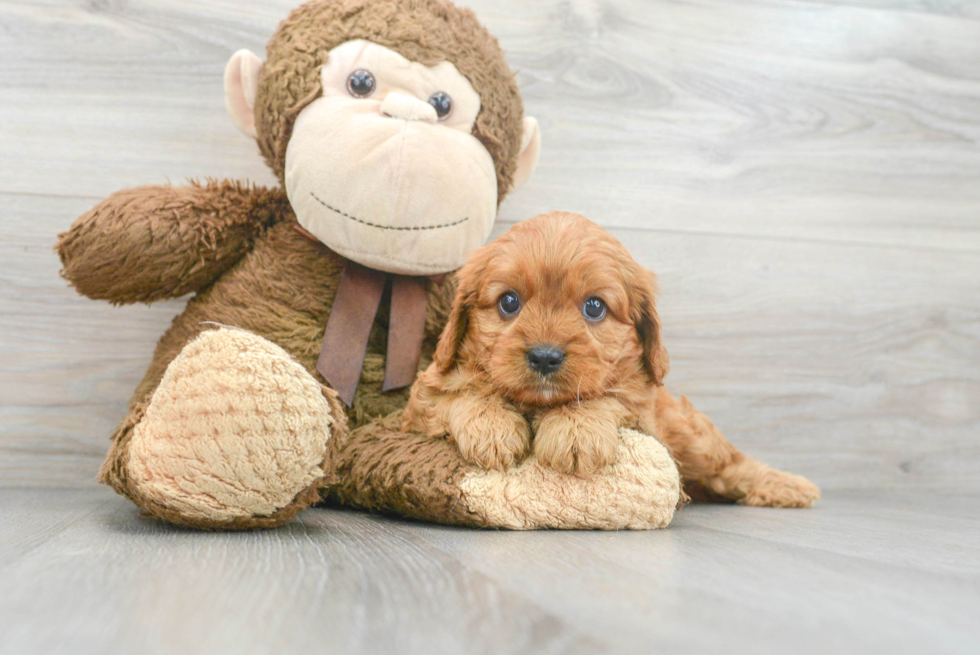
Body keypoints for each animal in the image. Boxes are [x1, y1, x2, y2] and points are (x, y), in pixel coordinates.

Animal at [400, 210, 820, 508]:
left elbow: (609, 395)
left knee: (732, 464)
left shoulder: (643, 404)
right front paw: (492, 427)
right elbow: (460, 393)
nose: (545, 357)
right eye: (508, 302)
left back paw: (788, 486)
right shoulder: (423, 397)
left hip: (692, 437)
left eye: (594, 307)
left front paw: (575, 429)